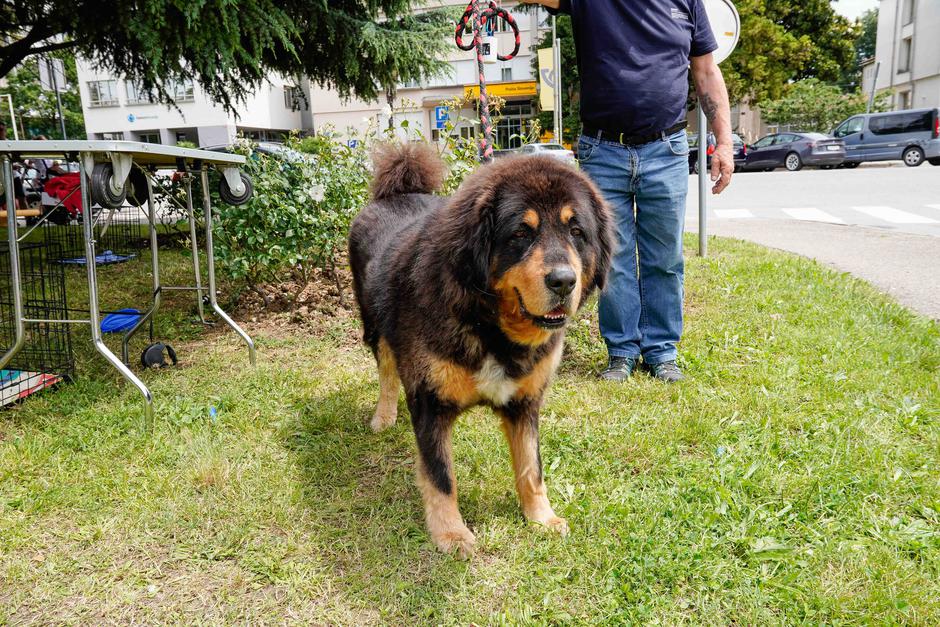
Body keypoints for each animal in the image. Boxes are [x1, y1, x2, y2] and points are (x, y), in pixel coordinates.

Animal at [348, 145, 612, 556]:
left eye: (576, 231)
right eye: (520, 233)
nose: (564, 281)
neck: (489, 327)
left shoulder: (525, 404)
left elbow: (532, 467)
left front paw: (541, 517)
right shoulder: (430, 403)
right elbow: (440, 475)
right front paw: (450, 534)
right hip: (375, 326)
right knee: (387, 372)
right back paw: (383, 416)